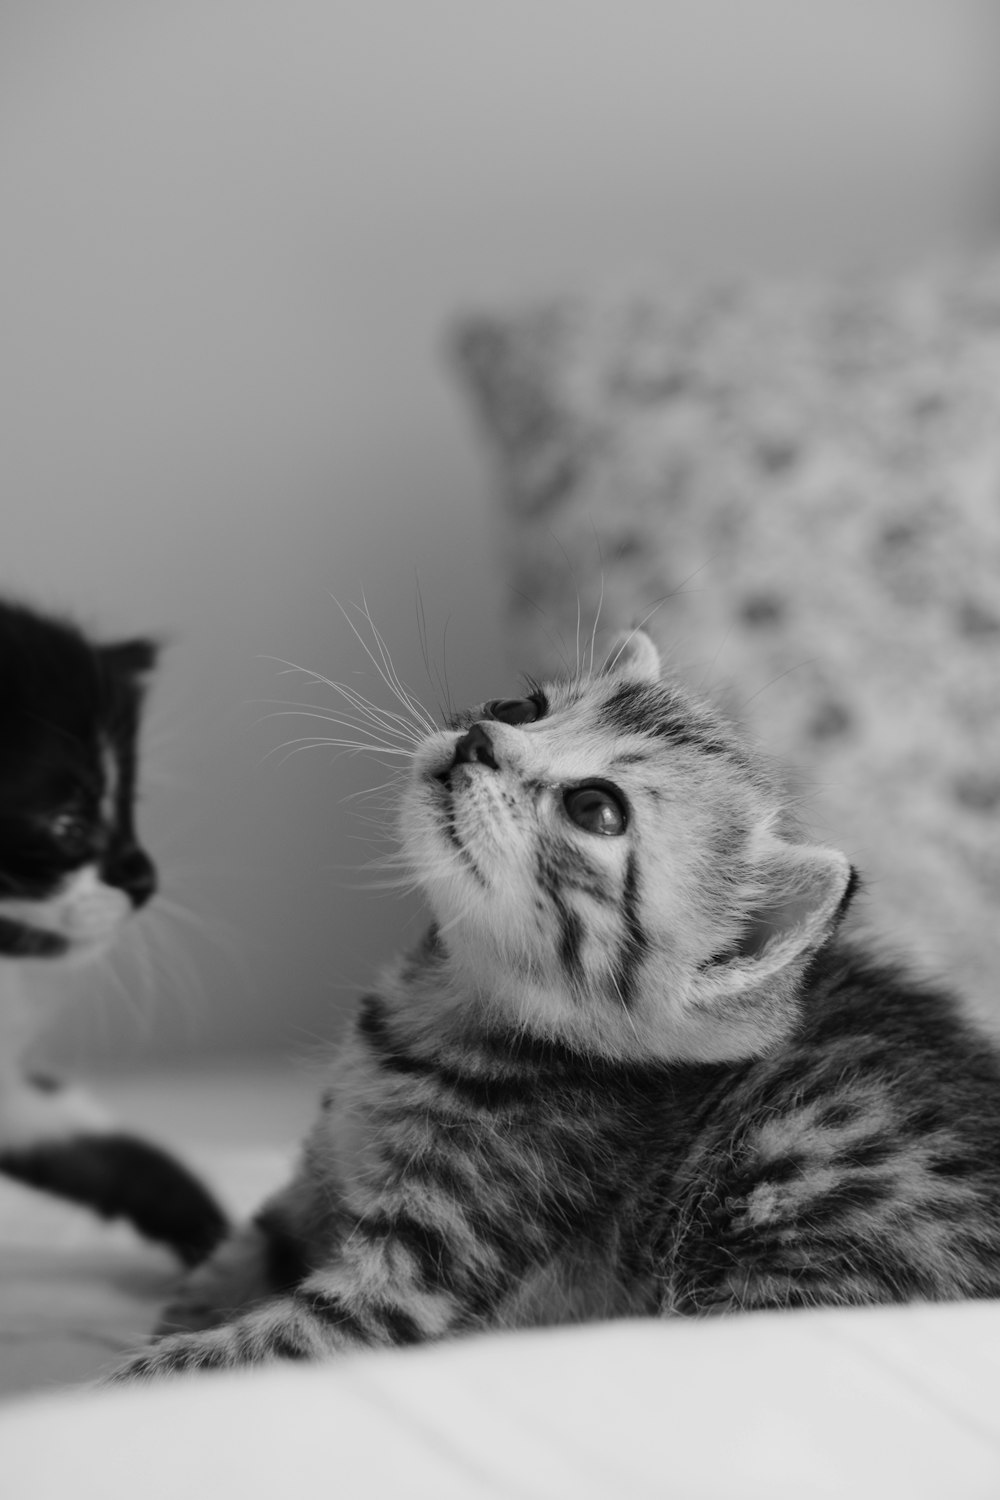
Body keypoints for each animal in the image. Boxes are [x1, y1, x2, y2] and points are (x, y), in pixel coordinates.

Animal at [111, 627, 1000, 1374]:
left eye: (596, 809)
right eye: (522, 708)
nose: (478, 737)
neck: (438, 1012)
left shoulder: (413, 1284)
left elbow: (234, 1354)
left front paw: (121, 1382)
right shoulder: (311, 1183)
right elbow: (227, 1264)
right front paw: (175, 1312)